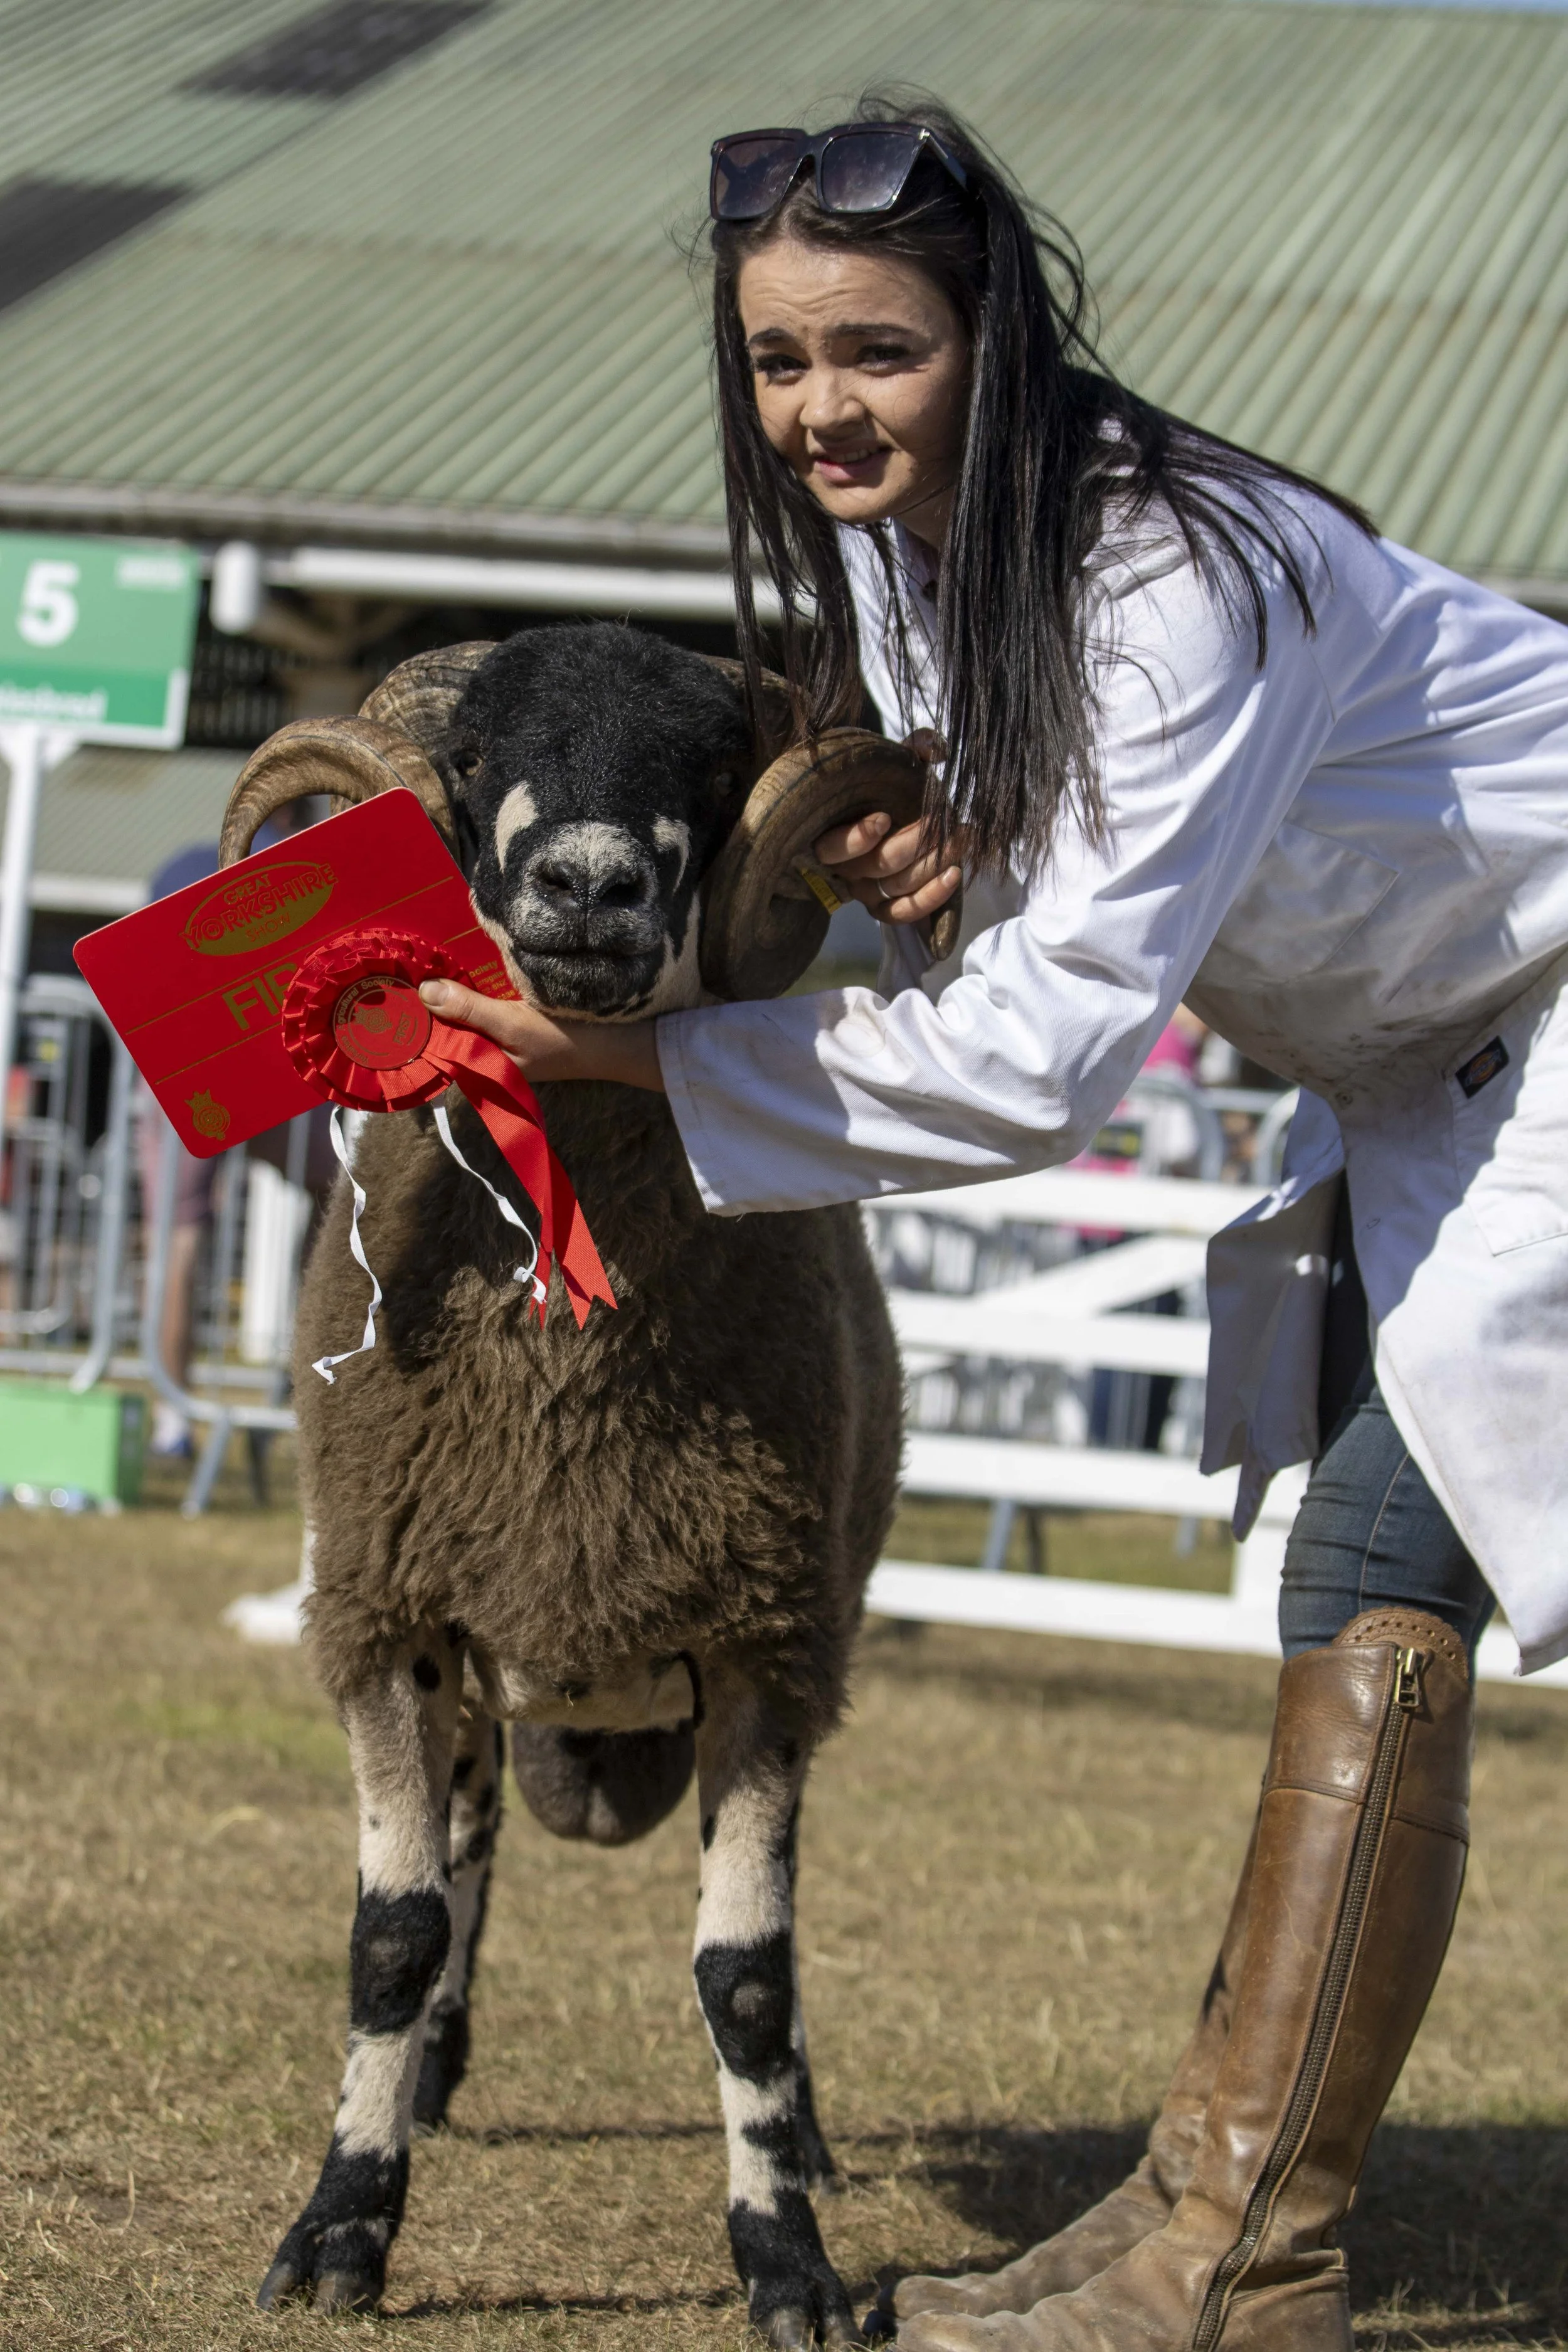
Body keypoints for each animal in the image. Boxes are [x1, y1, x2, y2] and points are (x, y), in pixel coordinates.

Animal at [218, 622, 952, 2347]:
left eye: (710, 759)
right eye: (477, 755)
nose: (591, 885)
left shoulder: (763, 1638)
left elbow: (745, 1972)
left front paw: (789, 2261)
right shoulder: (386, 1610)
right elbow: (393, 1932)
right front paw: (341, 2230)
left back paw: (811, 2139)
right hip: (479, 1666)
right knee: (471, 1845)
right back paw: (430, 2078)